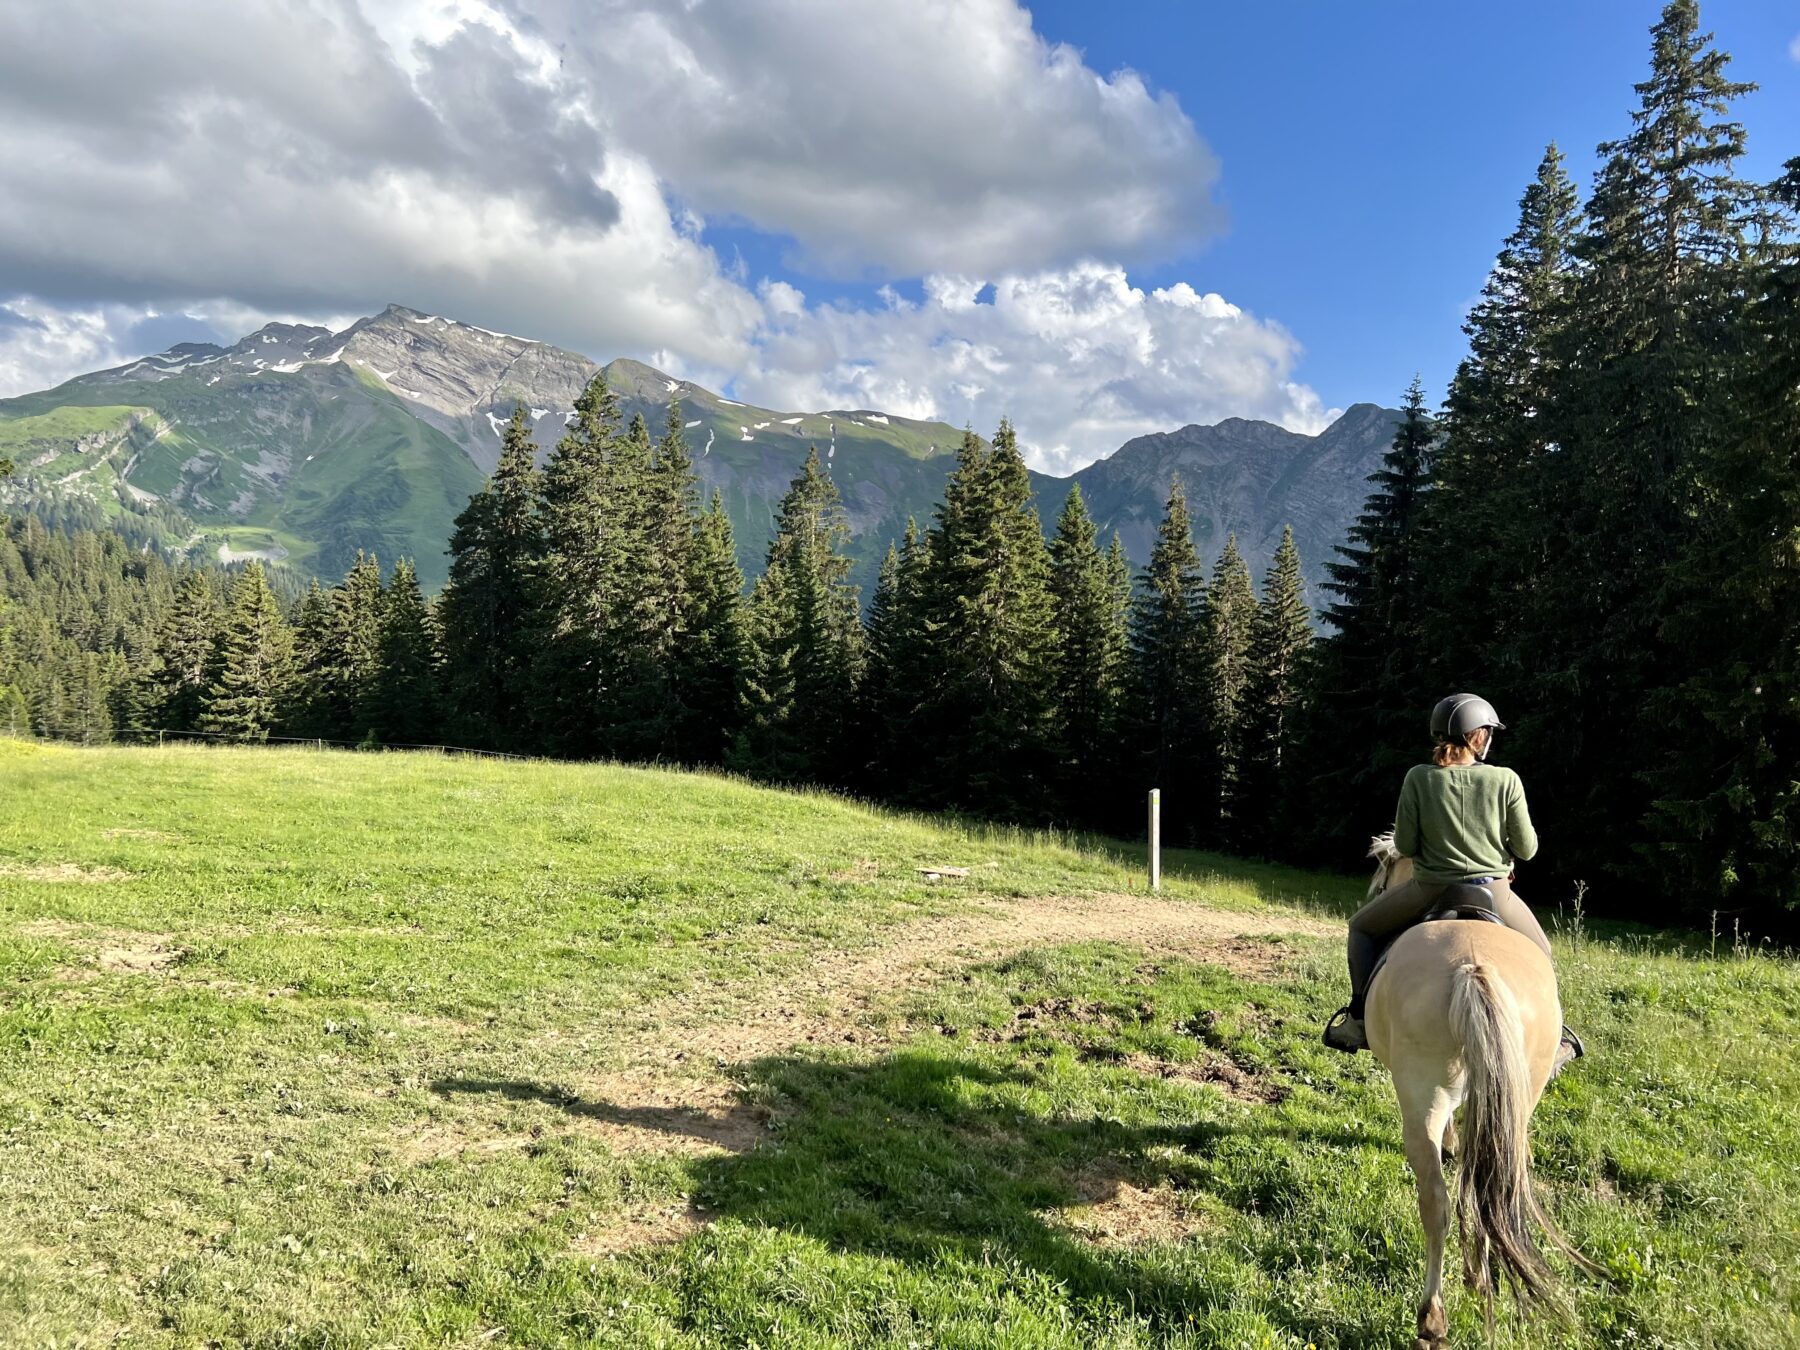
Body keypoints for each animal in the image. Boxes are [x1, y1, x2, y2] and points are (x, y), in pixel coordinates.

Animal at [1353, 835, 1598, 1346]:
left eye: (1381, 878)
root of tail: (1473, 966)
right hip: (1517, 1097)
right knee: (1489, 1186)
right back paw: (1479, 1278)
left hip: (1420, 1094)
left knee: (1436, 1200)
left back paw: (1432, 1316)